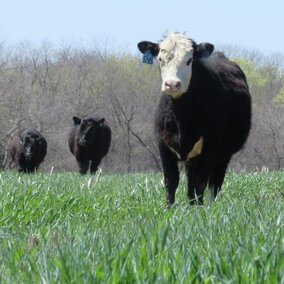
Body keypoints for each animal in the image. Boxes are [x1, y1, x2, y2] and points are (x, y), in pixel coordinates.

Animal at [138, 32, 251, 206]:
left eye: (189, 60)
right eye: (160, 59)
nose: (172, 84)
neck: (181, 118)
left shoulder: (210, 146)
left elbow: (200, 184)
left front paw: (198, 210)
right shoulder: (162, 144)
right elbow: (171, 181)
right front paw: (168, 209)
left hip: (223, 156)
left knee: (214, 183)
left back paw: (210, 205)